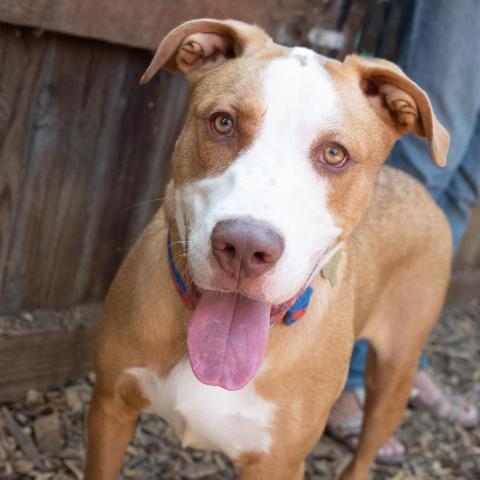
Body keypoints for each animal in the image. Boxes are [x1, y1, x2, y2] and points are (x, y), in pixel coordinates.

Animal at [85, 18, 450, 480]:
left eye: (335, 153)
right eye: (223, 123)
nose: (244, 246)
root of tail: (419, 188)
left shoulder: (279, 462)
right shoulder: (110, 407)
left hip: (395, 372)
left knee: (367, 447)